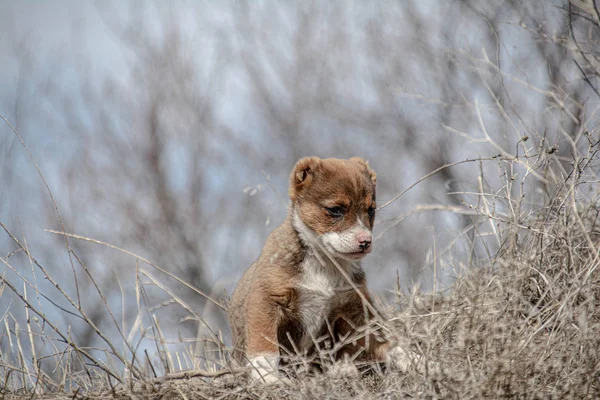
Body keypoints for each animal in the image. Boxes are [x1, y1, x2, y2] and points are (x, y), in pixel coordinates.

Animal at [227, 158, 420, 382]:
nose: (365, 241)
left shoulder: (358, 313)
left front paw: (417, 361)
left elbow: (388, 342)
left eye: (371, 210)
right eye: (336, 209)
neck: (324, 262)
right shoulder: (266, 300)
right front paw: (268, 378)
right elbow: (264, 347)